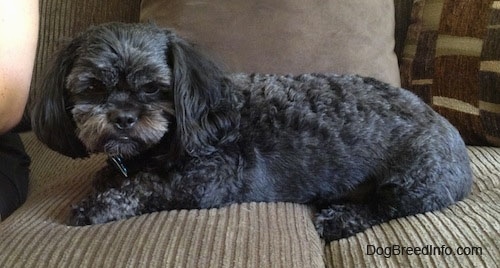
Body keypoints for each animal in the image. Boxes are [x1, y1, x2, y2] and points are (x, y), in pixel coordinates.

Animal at [32, 22, 472, 241]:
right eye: (92, 87)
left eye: (153, 88)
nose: (123, 118)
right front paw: (107, 176)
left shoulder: (210, 179)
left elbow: (146, 187)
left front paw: (98, 205)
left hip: (414, 179)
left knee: (388, 207)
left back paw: (340, 219)